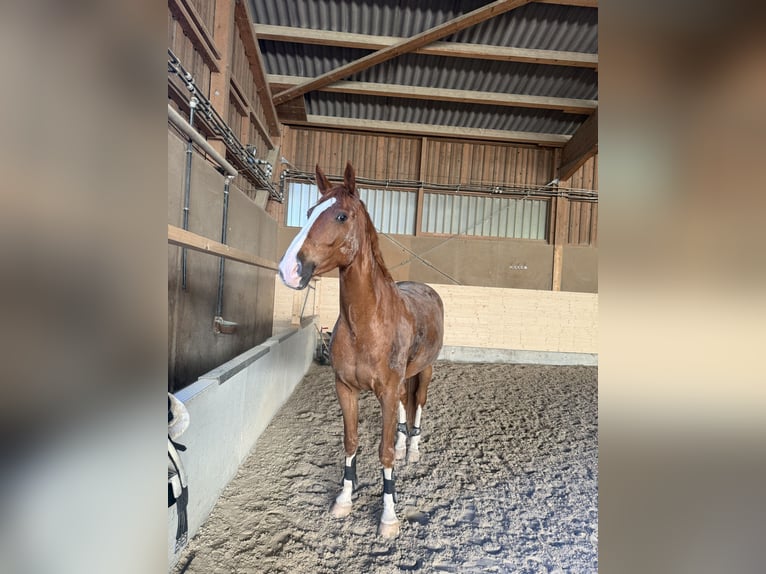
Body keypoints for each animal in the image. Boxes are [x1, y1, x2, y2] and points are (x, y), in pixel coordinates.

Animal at [278, 162, 444, 537]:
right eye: (308, 213)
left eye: (341, 215)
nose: (289, 270)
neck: (368, 324)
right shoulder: (346, 389)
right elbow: (352, 442)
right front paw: (343, 499)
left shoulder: (386, 391)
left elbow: (384, 452)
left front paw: (388, 517)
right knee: (404, 406)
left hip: (425, 371)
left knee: (418, 404)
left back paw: (412, 450)